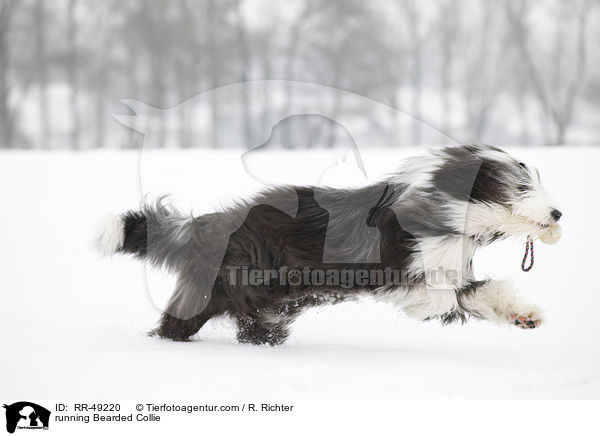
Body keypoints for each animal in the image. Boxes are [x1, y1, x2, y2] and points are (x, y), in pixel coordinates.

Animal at [97, 146, 564, 344]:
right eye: (521, 187)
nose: (558, 213)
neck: (449, 211)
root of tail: (215, 222)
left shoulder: (451, 269)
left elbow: (480, 293)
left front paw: (525, 316)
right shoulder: (399, 267)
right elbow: (438, 297)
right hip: (243, 278)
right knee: (199, 319)